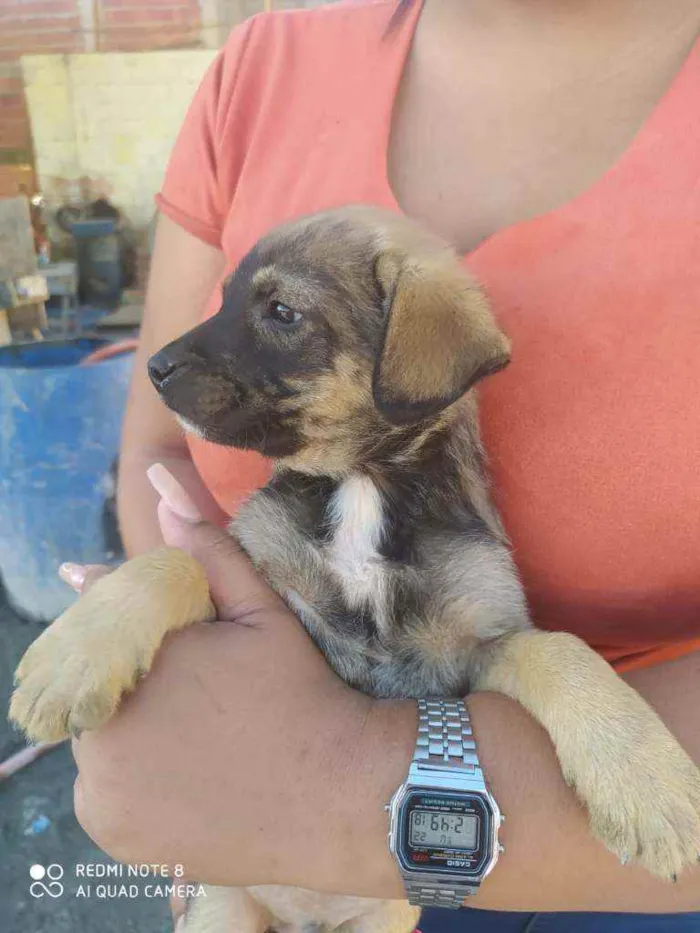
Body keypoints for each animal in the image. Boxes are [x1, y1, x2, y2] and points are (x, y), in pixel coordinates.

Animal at [10, 206, 700, 932]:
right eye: (224, 300)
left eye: (282, 312)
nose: (153, 368)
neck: (362, 484)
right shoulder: (263, 583)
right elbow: (176, 558)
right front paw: (73, 659)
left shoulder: (471, 654)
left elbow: (561, 648)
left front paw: (649, 785)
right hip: (224, 908)